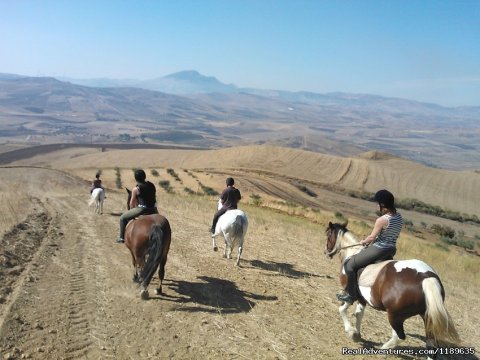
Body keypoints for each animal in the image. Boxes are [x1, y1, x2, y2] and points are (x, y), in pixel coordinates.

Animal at [324, 221, 460, 352]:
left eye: (328, 235)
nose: (326, 252)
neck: (352, 252)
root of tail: (426, 277)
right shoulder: (362, 298)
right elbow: (359, 314)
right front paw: (357, 335)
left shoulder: (350, 294)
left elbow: (342, 309)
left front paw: (351, 332)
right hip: (426, 317)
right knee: (431, 343)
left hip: (395, 315)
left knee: (399, 336)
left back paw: (382, 349)